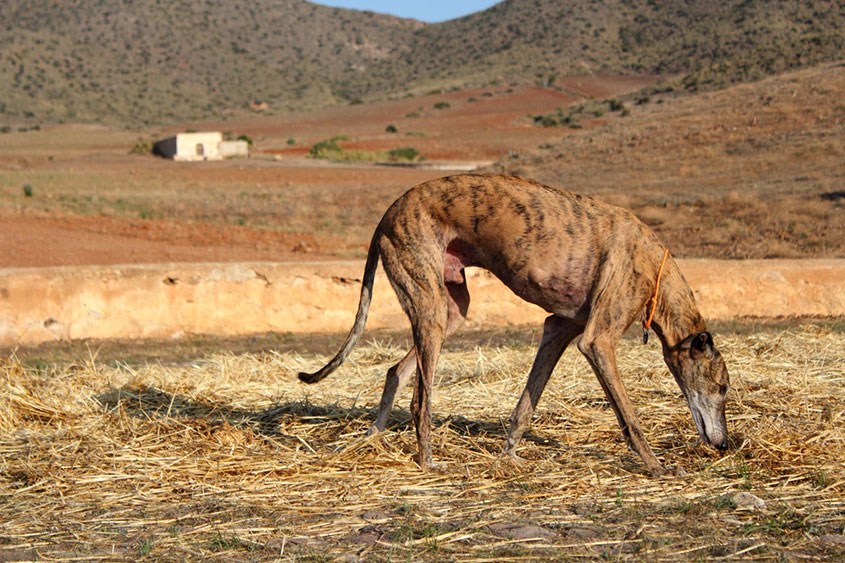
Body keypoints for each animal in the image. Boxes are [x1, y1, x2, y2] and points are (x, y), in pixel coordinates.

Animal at [300, 174, 728, 478]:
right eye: (722, 387)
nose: (723, 445)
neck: (656, 269)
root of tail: (389, 212)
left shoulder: (559, 328)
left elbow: (527, 403)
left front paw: (509, 455)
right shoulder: (597, 341)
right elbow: (629, 417)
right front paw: (657, 466)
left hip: (450, 310)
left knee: (396, 372)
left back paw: (371, 437)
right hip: (429, 304)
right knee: (421, 399)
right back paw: (428, 462)